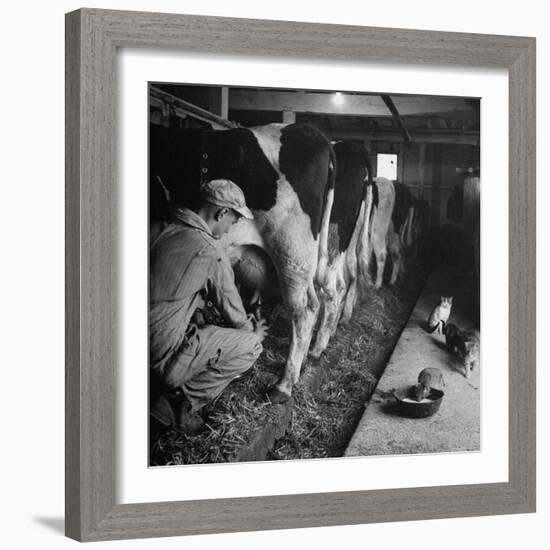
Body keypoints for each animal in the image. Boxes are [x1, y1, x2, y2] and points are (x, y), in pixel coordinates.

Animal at [310, 141, 376, 358]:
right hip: (350, 233)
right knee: (350, 275)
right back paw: (340, 322)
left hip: (334, 228)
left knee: (333, 282)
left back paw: (317, 346)